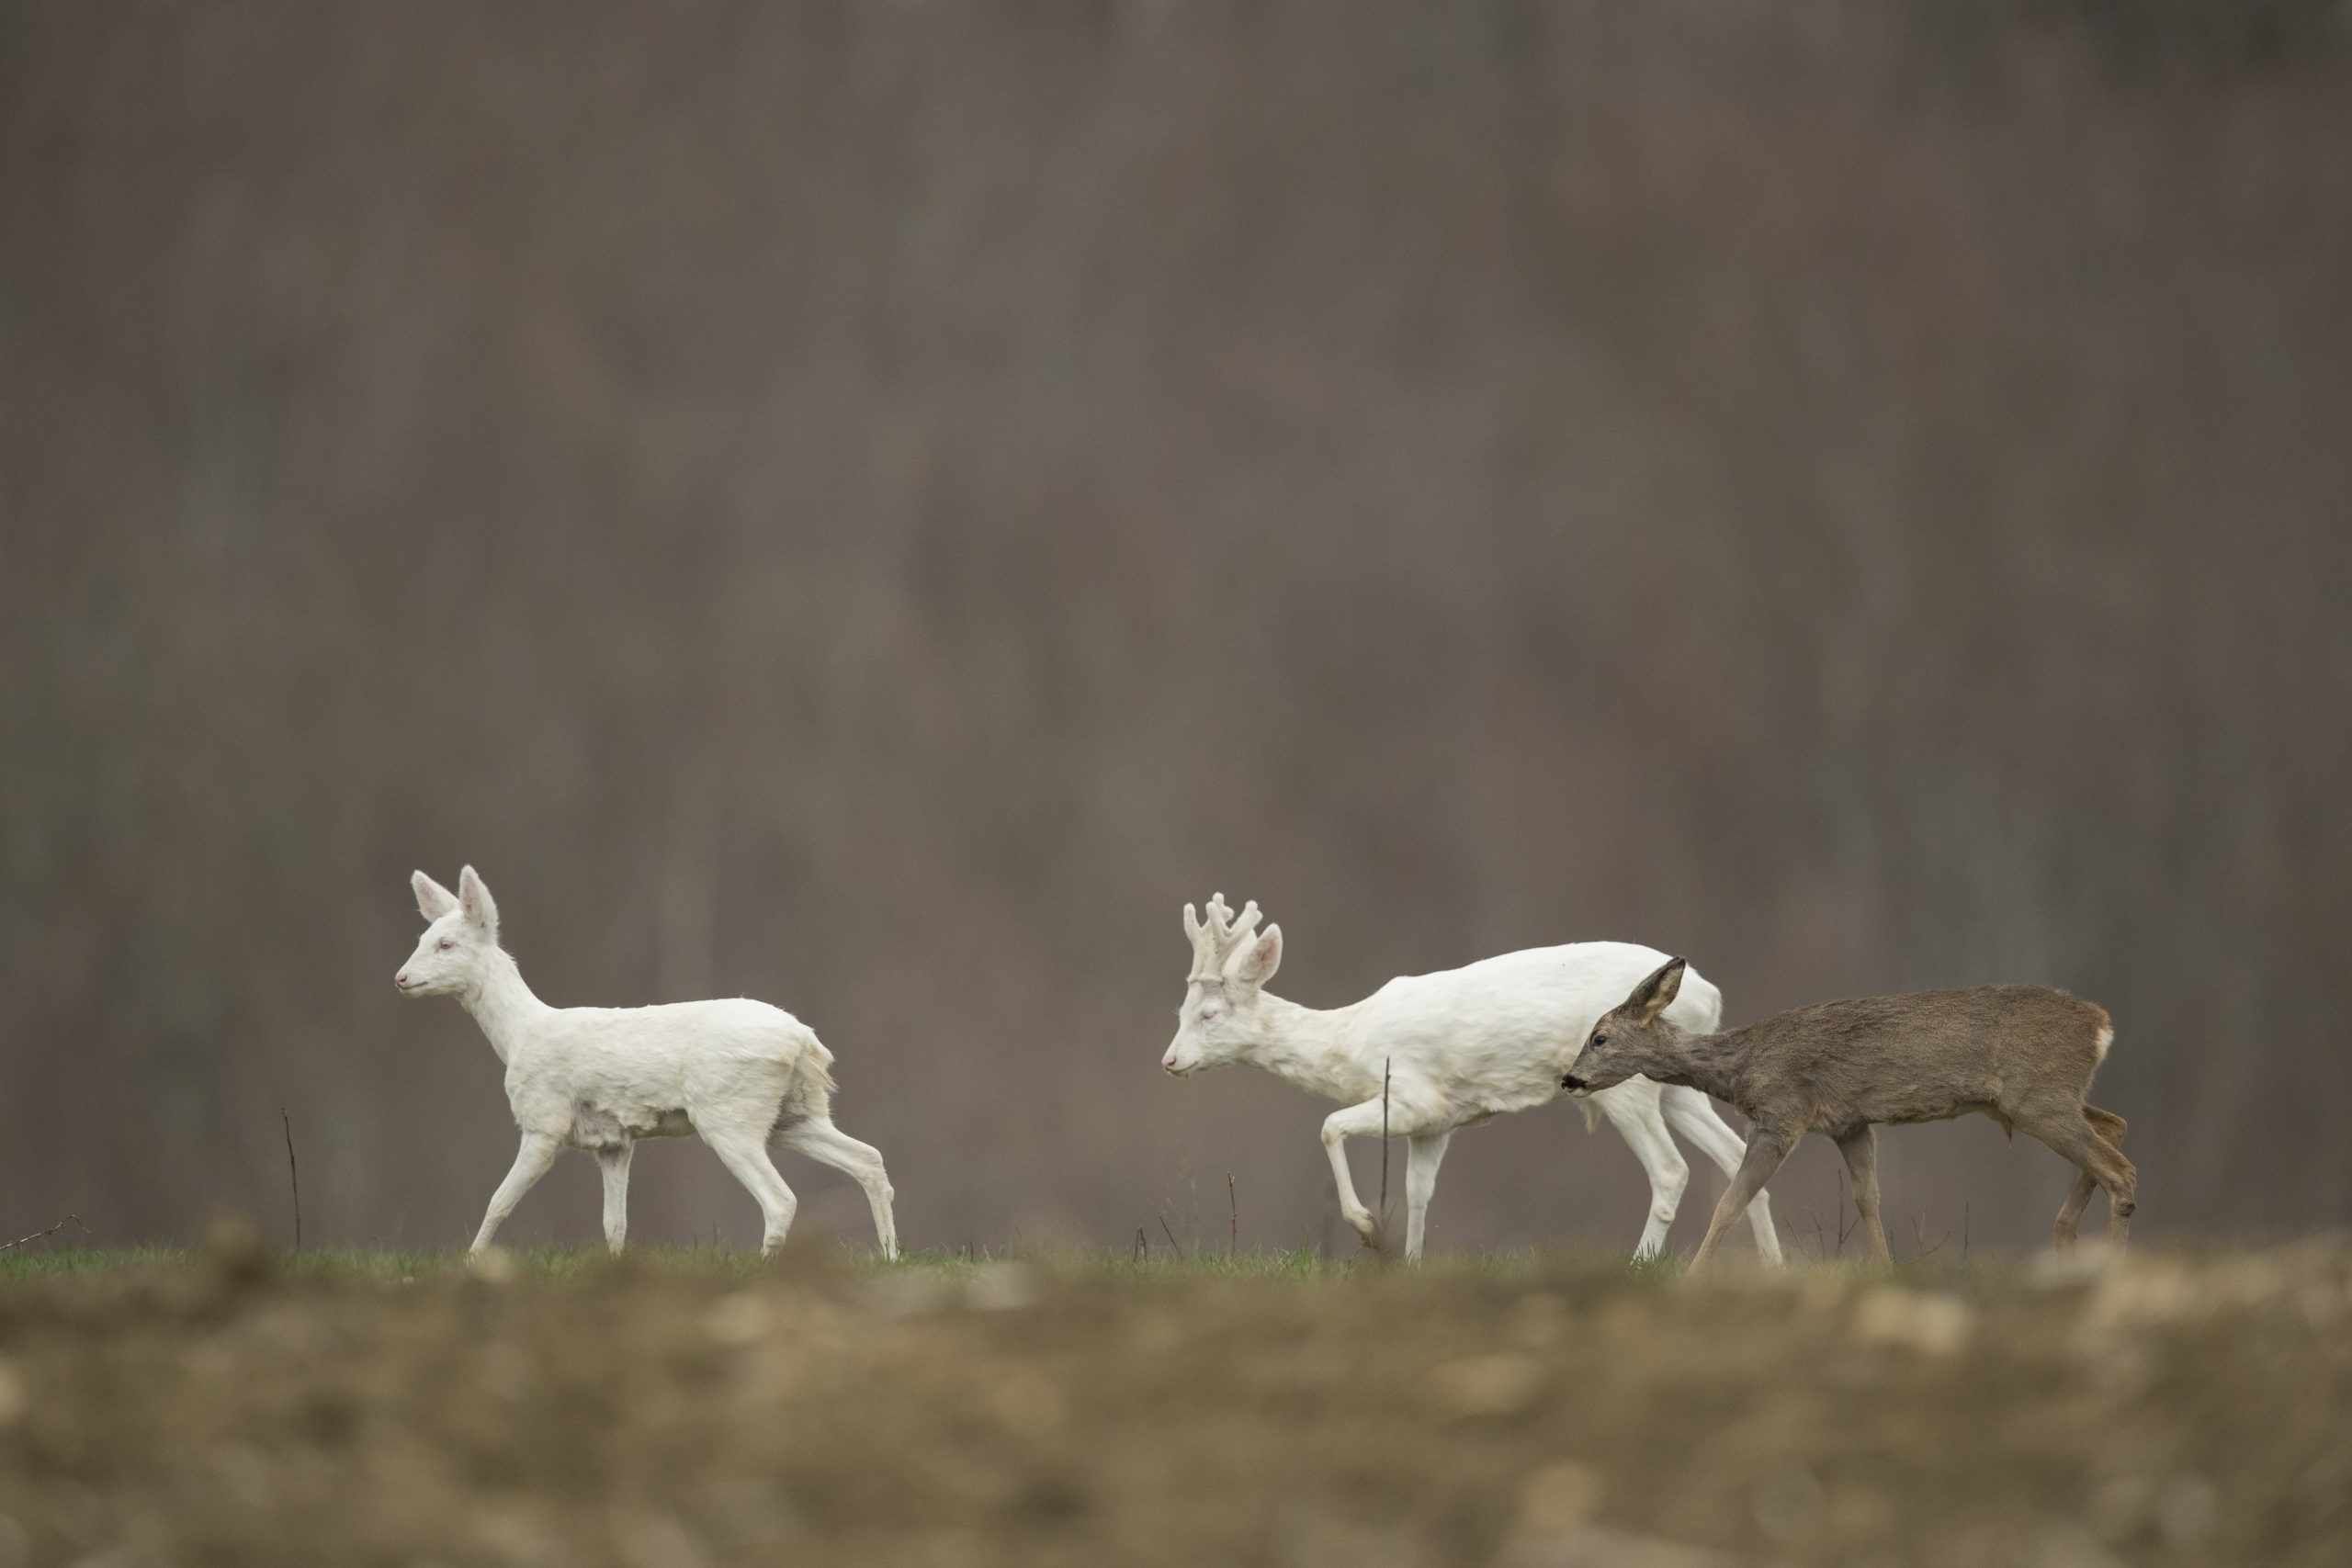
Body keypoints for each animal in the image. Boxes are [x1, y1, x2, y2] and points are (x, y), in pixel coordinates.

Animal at [1157, 893, 1778, 1259]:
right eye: (1180, 1011)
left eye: (1208, 1014)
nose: (1169, 1061)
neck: (1348, 1043)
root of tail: (1710, 996)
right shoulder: (1436, 1124)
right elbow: (1418, 1193)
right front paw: (1407, 1263)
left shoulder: (1412, 1095)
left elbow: (1330, 1126)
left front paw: (1366, 1227)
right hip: (1677, 1089)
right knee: (1738, 1158)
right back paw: (1774, 1266)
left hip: (1629, 1087)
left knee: (1672, 1172)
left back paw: (1638, 1267)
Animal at [1561, 959, 2135, 1279]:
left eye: (1600, 1037)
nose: (1569, 1080)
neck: (1741, 1066)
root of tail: (2101, 1024)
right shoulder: (1850, 1124)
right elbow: (1868, 1200)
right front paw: (1885, 1268)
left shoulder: (1782, 1115)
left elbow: (1731, 1201)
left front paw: (1693, 1275)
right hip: (2044, 1098)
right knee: (2114, 1127)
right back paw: (2065, 1238)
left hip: (2037, 1097)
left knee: (2119, 1169)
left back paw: (2109, 1262)